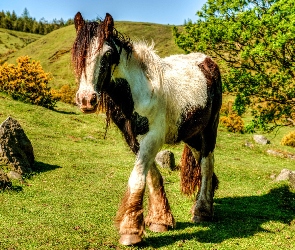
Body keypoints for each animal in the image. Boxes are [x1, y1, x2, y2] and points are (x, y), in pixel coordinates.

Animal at [72, 12, 222, 245]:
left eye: (107, 54)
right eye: (77, 51)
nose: (87, 100)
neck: (138, 91)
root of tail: (208, 61)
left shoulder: (153, 138)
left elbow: (137, 178)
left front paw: (131, 231)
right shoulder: (134, 139)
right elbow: (152, 176)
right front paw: (160, 220)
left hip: (209, 130)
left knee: (206, 165)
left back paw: (202, 211)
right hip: (192, 135)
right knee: (202, 164)